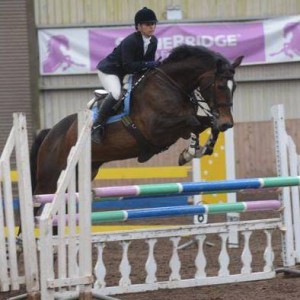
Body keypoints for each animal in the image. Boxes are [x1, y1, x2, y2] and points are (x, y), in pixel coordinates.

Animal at [31, 44, 243, 195]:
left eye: (234, 87)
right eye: (220, 86)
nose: (227, 122)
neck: (171, 84)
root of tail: (50, 133)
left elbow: (206, 125)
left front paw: (196, 150)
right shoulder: (156, 129)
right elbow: (194, 122)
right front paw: (190, 152)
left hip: (82, 173)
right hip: (50, 180)